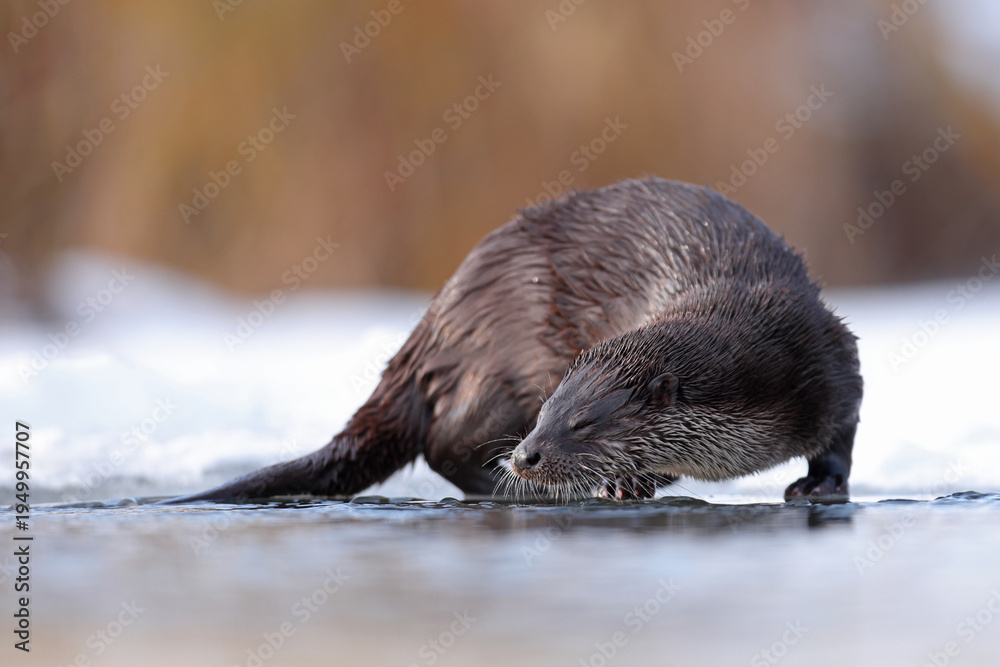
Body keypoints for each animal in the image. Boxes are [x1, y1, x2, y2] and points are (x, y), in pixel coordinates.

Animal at [167, 177, 861, 504]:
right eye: (548, 413)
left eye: (582, 423)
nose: (527, 454)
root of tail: (443, 314)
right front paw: (623, 485)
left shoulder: (832, 361)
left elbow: (841, 437)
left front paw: (818, 486)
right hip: (500, 367)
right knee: (444, 443)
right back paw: (501, 482)